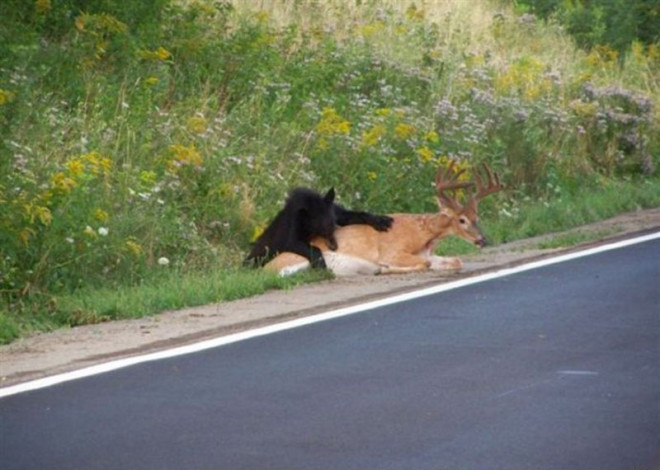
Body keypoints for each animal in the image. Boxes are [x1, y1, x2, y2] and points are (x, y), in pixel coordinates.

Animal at [262, 162, 500, 276]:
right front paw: (385, 267)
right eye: (462, 220)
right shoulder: (394, 250)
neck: (423, 234)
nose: (482, 239)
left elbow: (457, 261)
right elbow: (422, 263)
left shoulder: (429, 253)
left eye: (476, 216)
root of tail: (266, 269)